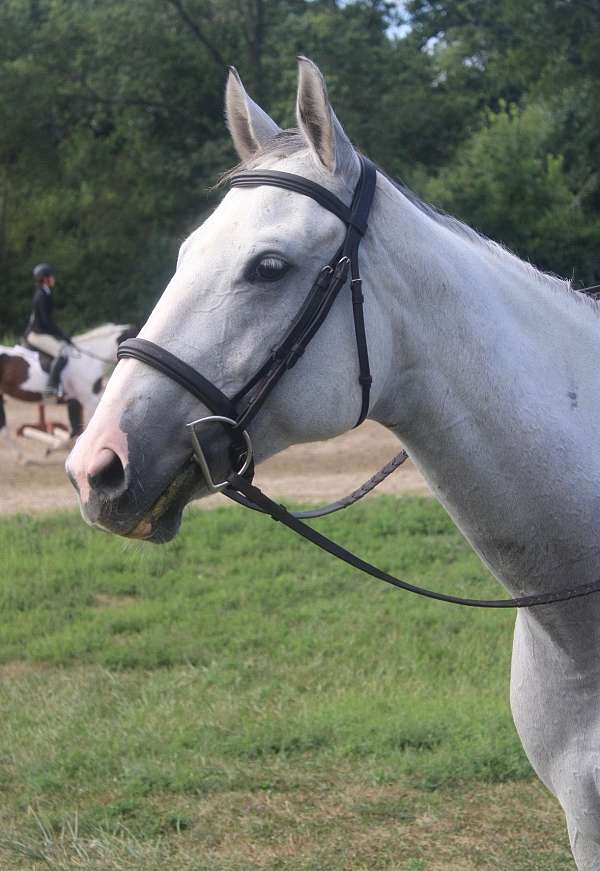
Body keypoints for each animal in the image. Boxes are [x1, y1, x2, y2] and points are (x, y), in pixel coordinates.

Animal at [0, 323, 135, 459]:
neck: (89, 361)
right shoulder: (87, 400)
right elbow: (83, 429)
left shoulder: (77, 400)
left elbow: (76, 429)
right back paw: (23, 457)